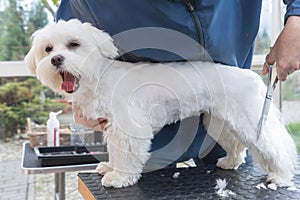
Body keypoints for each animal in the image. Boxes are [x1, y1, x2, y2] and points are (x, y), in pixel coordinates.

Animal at [24, 18, 296, 188]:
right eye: (47, 49)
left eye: (74, 44)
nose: (56, 59)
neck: (99, 78)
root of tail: (251, 75)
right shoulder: (112, 127)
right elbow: (114, 151)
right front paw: (110, 166)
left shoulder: (129, 128)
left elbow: (126, 155)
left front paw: (119, 177)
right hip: (222, 121)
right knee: (236, 146)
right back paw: (230, 162)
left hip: (252, 120)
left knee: (278, 148)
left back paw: (281, 177)